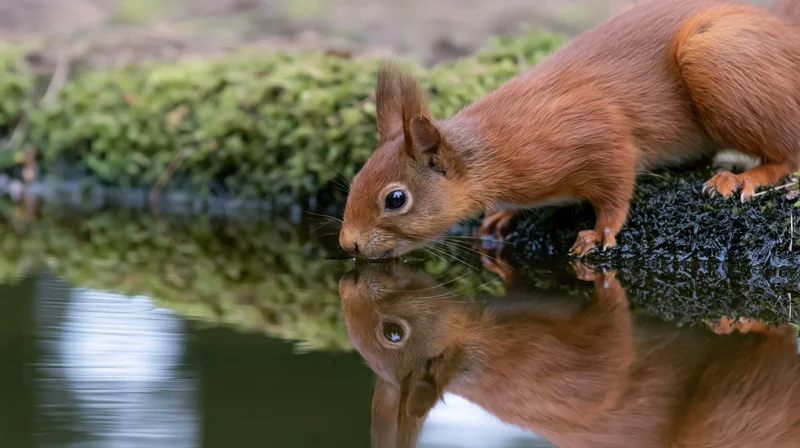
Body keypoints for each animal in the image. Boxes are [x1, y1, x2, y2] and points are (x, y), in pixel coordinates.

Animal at [338, 0, 800, 259]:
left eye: (396, 199)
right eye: (355, 179)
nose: (347, 246)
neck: (493, 149)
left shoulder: (594, 133)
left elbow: (615, 185)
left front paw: (600, 231)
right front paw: (502, 214)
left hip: (716, 57)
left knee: (787, 151)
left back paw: (746, 176)